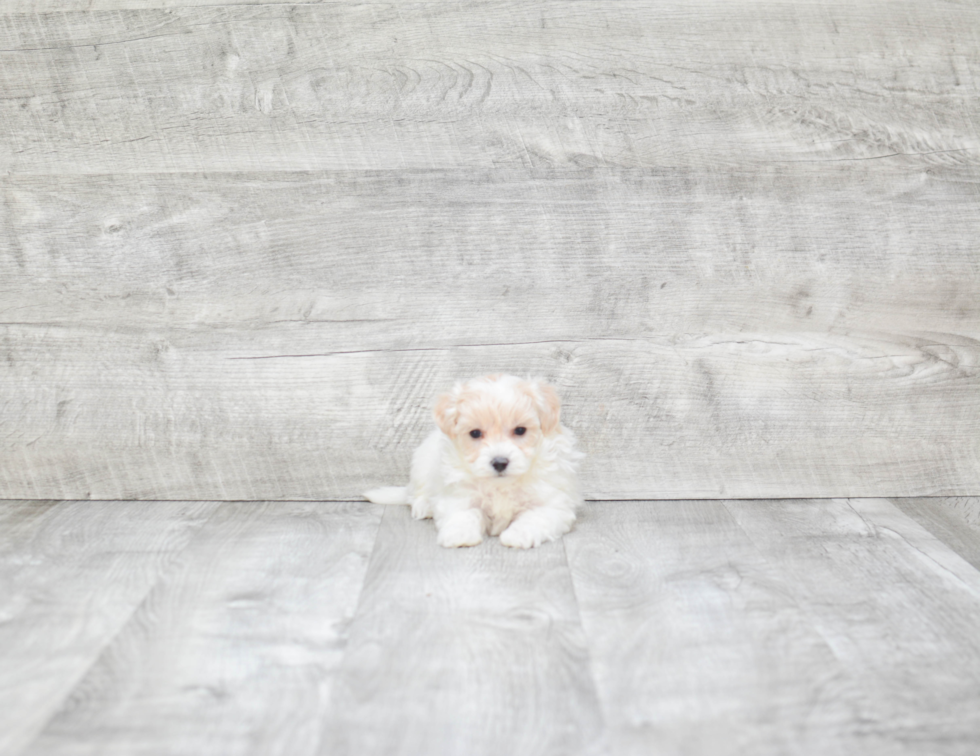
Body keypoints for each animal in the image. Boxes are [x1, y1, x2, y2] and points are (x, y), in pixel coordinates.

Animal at [366, 374, 580, 548]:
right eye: (475, 433)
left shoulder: (552, 504)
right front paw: (459, 536)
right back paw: (424, 506)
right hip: (422, 464)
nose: (499, 462)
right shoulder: (459, 496)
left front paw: (518, 536)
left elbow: (535, 518)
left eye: (520, 430)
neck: (501, 485)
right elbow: (463, 514)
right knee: (416, 493)